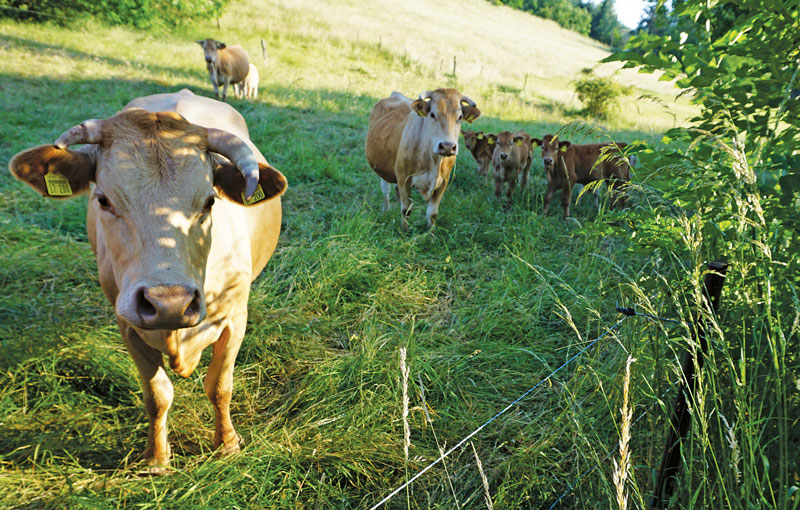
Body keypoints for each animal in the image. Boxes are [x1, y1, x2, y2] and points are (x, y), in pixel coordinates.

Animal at [364, 89, 482, 229]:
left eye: (459, 117)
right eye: (432, 114)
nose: (447, 146)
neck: (433, 161)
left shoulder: (443, 182)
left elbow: (432, 214)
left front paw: (430, 233)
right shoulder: (404, 178)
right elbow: (406, 210)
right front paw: (404, 231)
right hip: (382, 168)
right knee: (385, 189)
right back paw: (386, 210)